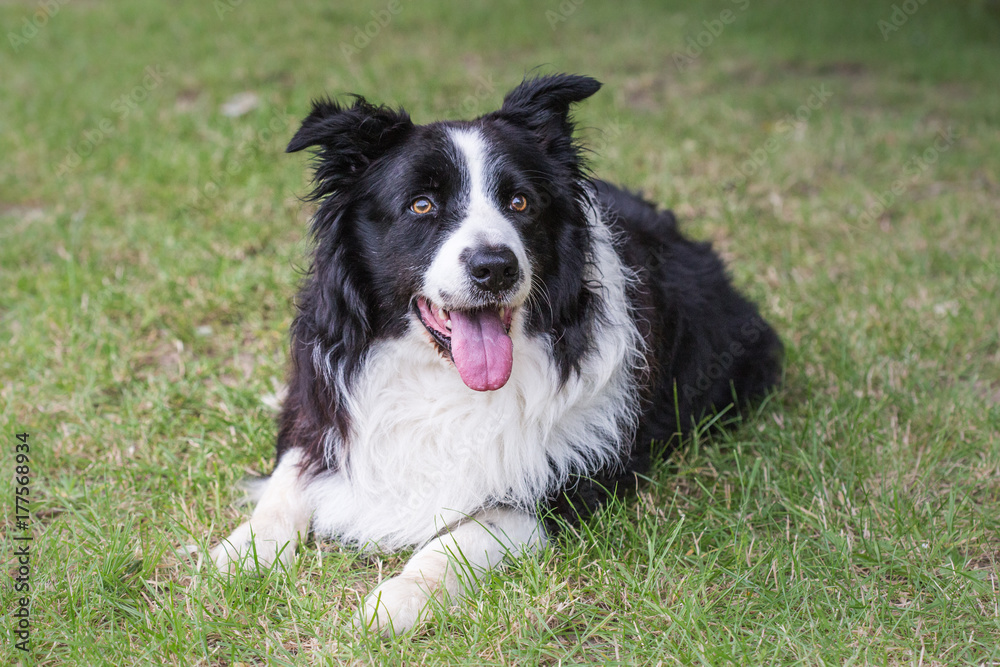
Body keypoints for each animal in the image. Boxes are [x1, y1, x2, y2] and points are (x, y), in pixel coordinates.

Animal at [211, 73, 784, 636]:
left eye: (520, 203)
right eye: (422, 204)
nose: (495, 267)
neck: (442, 380)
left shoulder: (564, 483)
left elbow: (460, 537)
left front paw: (397, 599)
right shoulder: (321, 411)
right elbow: (287, 481)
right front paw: (240, 552)